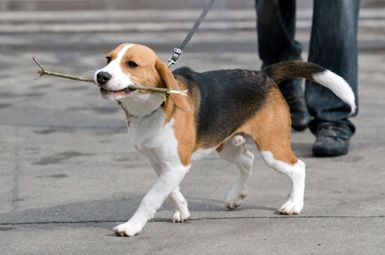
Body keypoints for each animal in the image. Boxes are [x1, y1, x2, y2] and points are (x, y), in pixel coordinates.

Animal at [93, 42, 354, 236]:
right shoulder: (163, 165)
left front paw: (131, 226)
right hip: (225, 145)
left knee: (298, 167)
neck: (152, 108)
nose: (101, 76)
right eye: (108, 59)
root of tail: (265, 75)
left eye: (131, 64)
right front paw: (182, 210)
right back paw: (237, 196)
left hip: (272, 148)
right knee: (247, 161)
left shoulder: (176, 165)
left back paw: (294, 204)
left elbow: (150, 197)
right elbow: (170, 191)